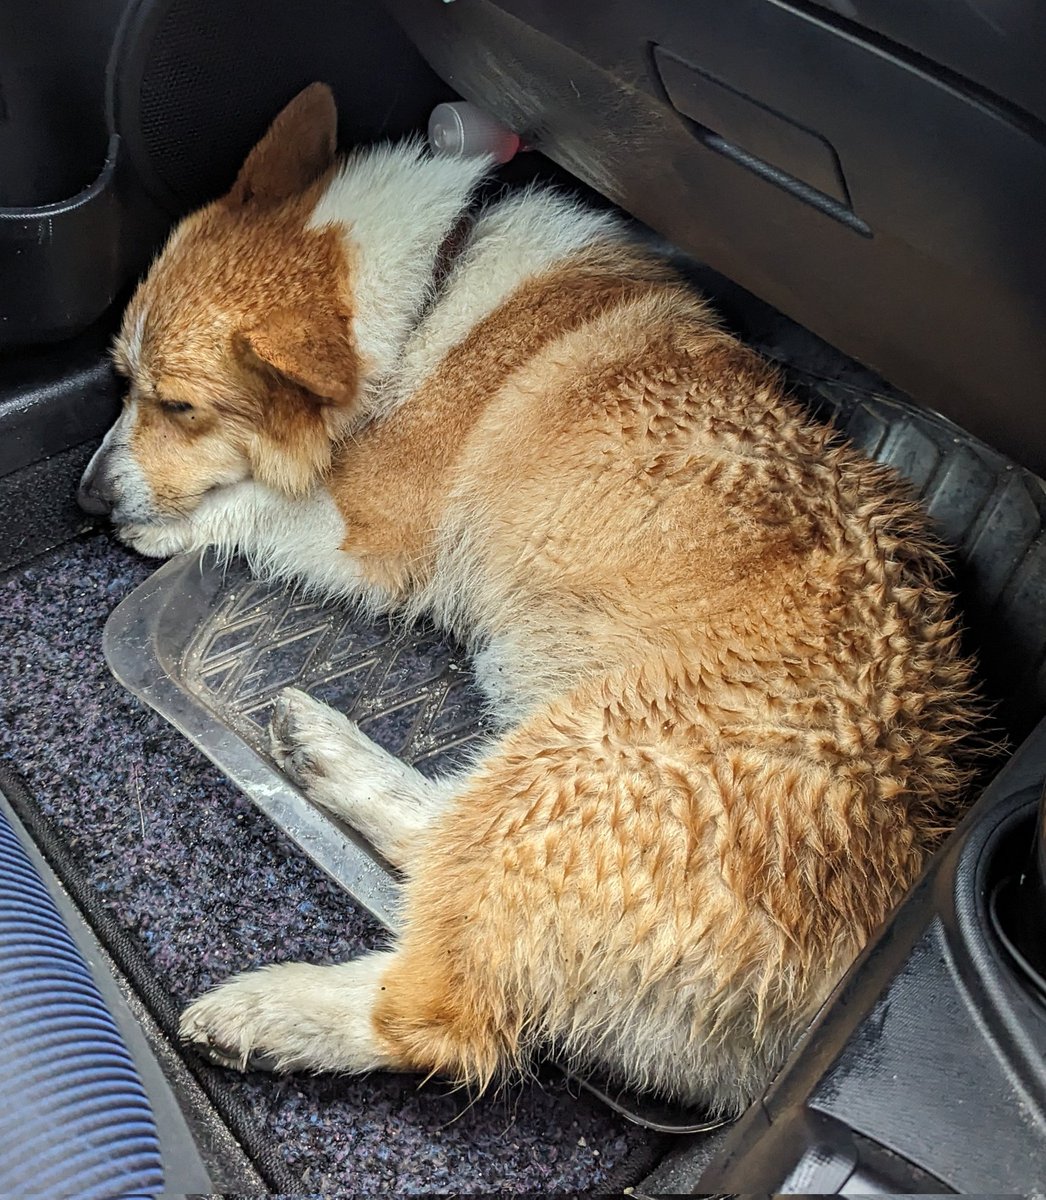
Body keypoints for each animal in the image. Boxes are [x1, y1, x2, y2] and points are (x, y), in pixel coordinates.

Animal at [75, 82, 978, 1113]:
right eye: (124, 381)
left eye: (180, 407)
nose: (85, 500)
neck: (425, 293)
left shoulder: (371, 535)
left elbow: (257, 510)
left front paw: (164, 526)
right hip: (555, 769)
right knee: (447, 846)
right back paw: (326, 753)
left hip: (590, 750)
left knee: (444, 1019)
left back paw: (268, 1011)